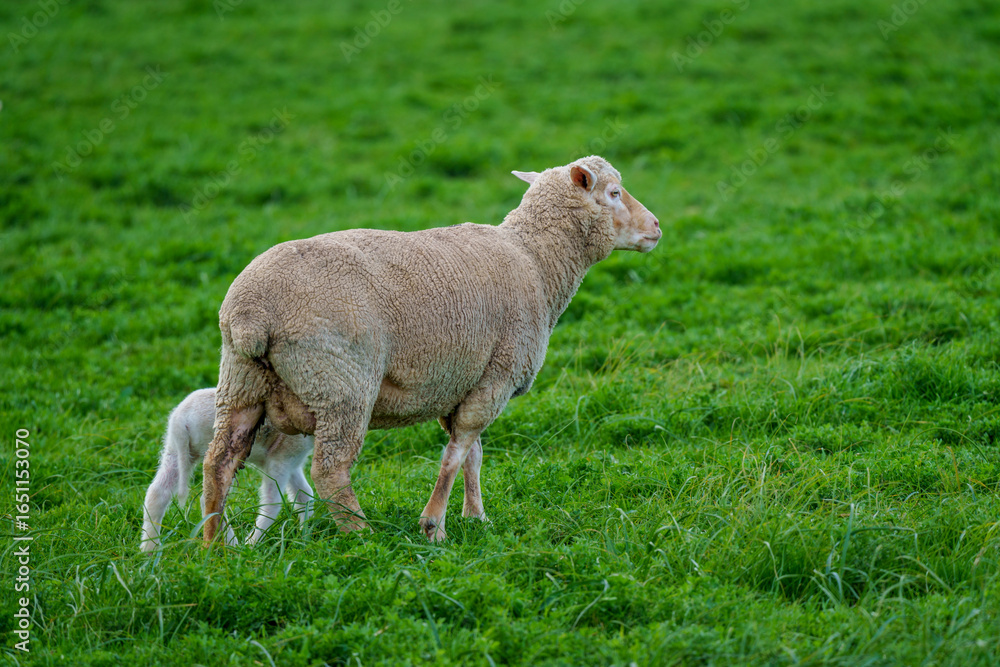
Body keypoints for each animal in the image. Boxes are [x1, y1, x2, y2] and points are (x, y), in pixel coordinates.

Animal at [141, 387, 313, 551]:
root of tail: (180, 420)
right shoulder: (280, 460)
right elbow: (273, 503)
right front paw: (252, 544)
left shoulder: (293, 464)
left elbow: (304, 494)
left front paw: (306, 536)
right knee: (209, 499)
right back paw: (234, 546)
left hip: (175, 449)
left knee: (157, 492)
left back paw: (149, 548)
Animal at [201, 155, 660, 544]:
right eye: (614, 193)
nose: (656, 226)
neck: (534, 259)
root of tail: (251, 313)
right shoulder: (497, 375)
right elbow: (455, 454)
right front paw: (434, 525)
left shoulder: (464, 380)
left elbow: (473, 453)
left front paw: (475, 517)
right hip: (340, 384)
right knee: (331, 469)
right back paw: (363, 537)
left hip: (242, 381)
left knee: (219, 462)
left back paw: (214, 548)